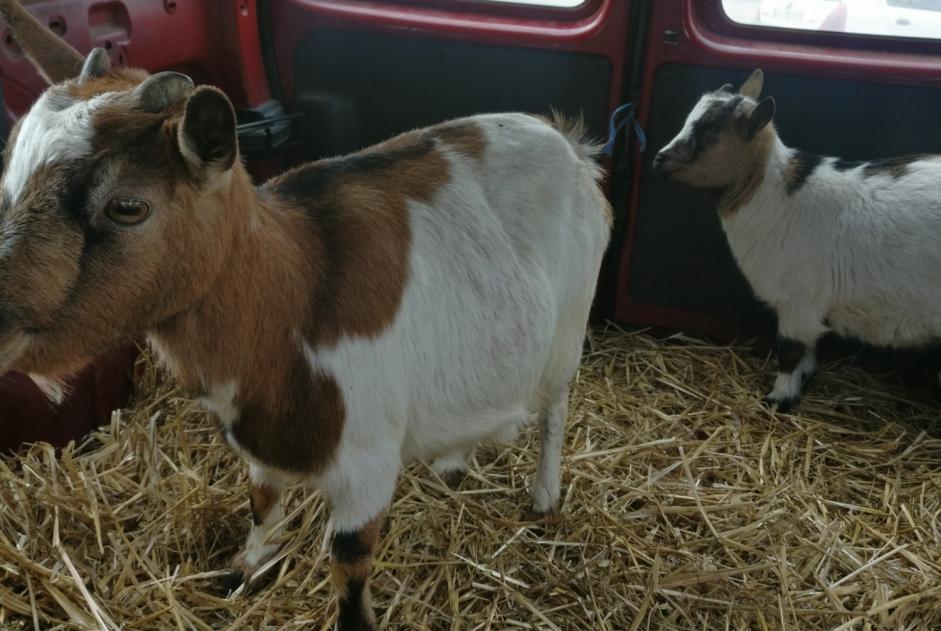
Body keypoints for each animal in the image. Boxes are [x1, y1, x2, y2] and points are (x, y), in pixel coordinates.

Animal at [0, 2, 612, 628]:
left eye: (127, 206)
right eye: (10, 177)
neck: (292, 292)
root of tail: (567, 141)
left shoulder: (367, 467)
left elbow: (349, 568)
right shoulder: (260, 446)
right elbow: (262, 504)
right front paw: (242, 569)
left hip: (570, 326)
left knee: (556, 407)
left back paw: (544, 496)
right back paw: (452, 461)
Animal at [656, 69, 940, 412]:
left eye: (710, 131)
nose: (659, 159)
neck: (776, 197)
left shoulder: (798, 299)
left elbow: (790, 350)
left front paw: (778, 399)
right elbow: (807, 351)